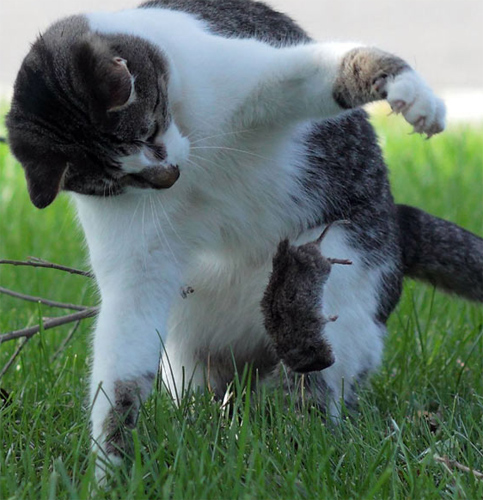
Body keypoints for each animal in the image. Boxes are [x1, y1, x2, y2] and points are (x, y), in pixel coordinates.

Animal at [4, 0, 483, 478]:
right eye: (118, 180)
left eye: (150, 132)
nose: (169, 177)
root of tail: (398, 222)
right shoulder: (136, 264)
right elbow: (121, 369)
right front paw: (112, 468)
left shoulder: (256, 83)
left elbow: (333, 72)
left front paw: (413, 94)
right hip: (189, 350)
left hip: (343, 271)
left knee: (313, 377)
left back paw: (298, 437)